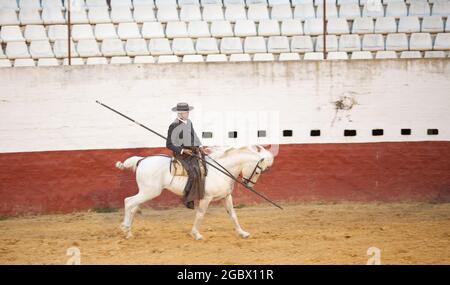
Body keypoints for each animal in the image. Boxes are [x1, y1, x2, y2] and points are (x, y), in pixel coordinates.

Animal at [116, 144, 274, 240]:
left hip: (145, 192)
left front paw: (242, 233)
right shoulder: (206, 198)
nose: (249, 185)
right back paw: (125, 229)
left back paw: (128, 232)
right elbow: (200, 214)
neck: (220, 170)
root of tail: (141, 160)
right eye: (258, 171)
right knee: (128, 202)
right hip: (150, 192)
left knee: (133, 206)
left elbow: (233, 215)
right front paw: (196, 234)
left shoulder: (226, 196)